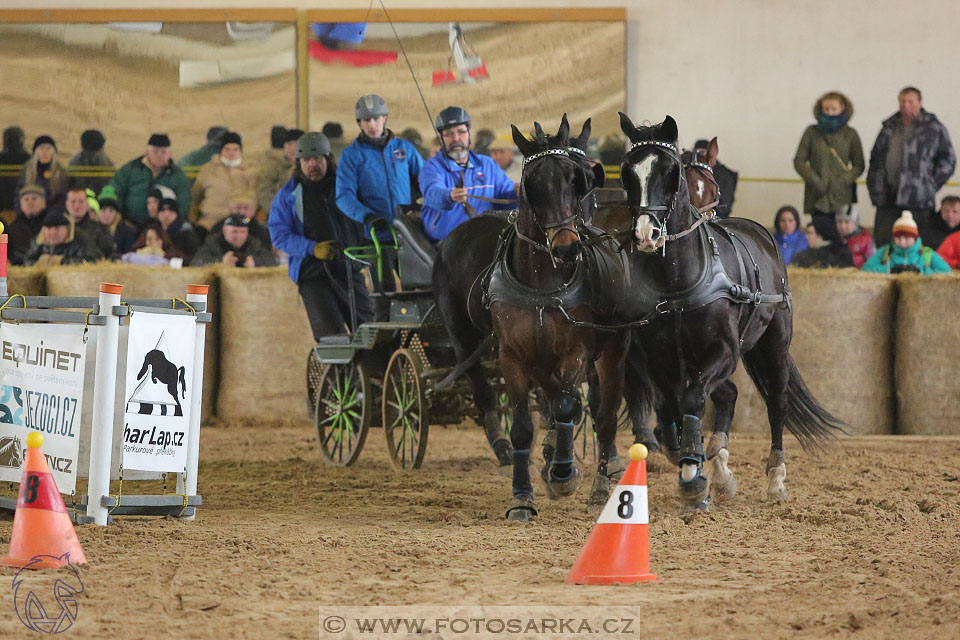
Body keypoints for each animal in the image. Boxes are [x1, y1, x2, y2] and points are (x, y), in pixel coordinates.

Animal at [616, 112, 848, 508]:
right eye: (628, 172)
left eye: (670, 171)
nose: (647, 234)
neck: (677, 280)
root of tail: (763, 234)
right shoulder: (661, 359)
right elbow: (671, 410)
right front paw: (693, 463)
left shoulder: (723, 350)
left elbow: (693, 399)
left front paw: (693, 474)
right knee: (726, 396)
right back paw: (720, 469)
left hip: (774, 344)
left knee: (776, 402)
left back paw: (775, 479)